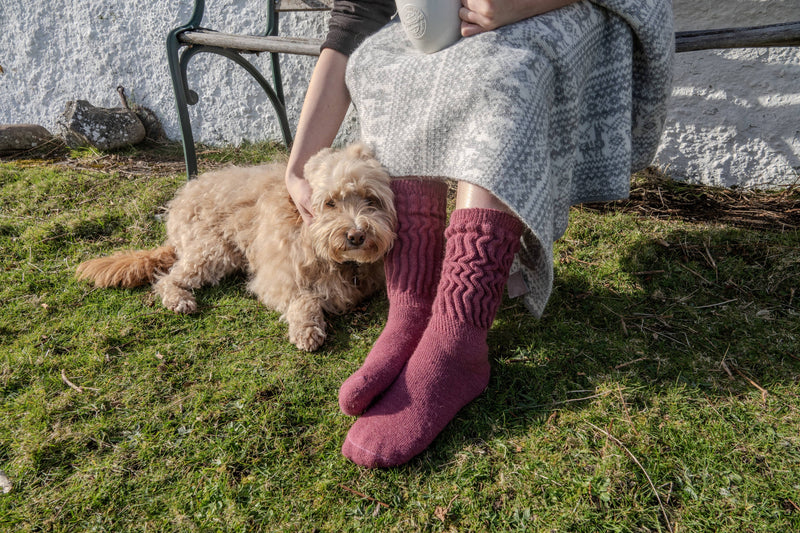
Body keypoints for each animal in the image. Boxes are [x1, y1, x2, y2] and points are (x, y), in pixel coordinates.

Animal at [76, 142, 396, 350]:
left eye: (371, 200)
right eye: (330, 203)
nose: (356, 235)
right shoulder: (277, 280)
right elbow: (304, 299)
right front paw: (306, 329)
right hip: (214, 251)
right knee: (168, 278)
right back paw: (179, 299)